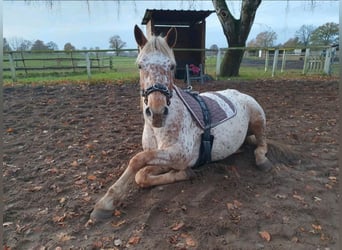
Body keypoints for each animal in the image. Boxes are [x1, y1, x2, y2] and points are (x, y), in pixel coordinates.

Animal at [89, 25, 298, 221]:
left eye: (172, 66)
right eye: (140, 65)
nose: (157, 113)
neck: (159, 128)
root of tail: (240, 94)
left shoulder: (180, 154)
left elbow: (137, 160)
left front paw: (105, 203)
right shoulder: (166, 156)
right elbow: (142, 173)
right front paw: (182, 174)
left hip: (258, 118)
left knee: (262, 144)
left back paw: (262, 160)